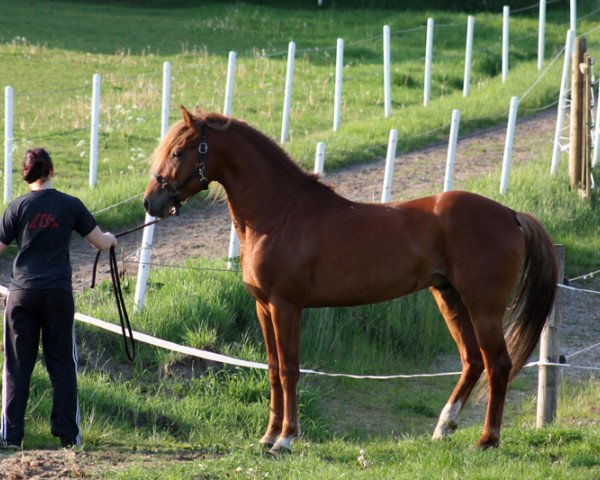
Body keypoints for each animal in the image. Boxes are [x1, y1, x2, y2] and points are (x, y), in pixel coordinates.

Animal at [144, 108, 556, 454]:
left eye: (179, 152)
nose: (152, 203)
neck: (280, 214)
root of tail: (510, 214)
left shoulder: (286, 307)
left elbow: (290, 370)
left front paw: (286, 439)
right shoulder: (264, 307)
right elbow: (274, 370)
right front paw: (268, 436)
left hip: (483, 307)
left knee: (497, 364)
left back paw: (486, 440)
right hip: (448, 298)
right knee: (472, 360)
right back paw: (444, 427)